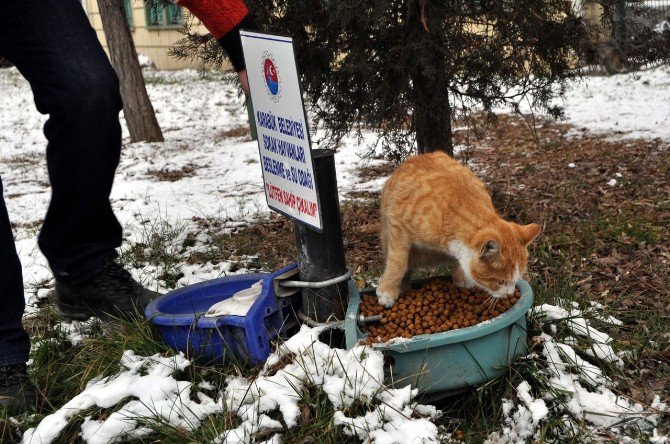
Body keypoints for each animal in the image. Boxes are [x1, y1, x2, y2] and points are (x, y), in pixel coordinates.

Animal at [376, 151, 544, 306]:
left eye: (517, 279)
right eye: (501, 281)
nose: (509, 294)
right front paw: (387, 291)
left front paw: (461, 277)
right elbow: (398, 262)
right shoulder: (398, 225)